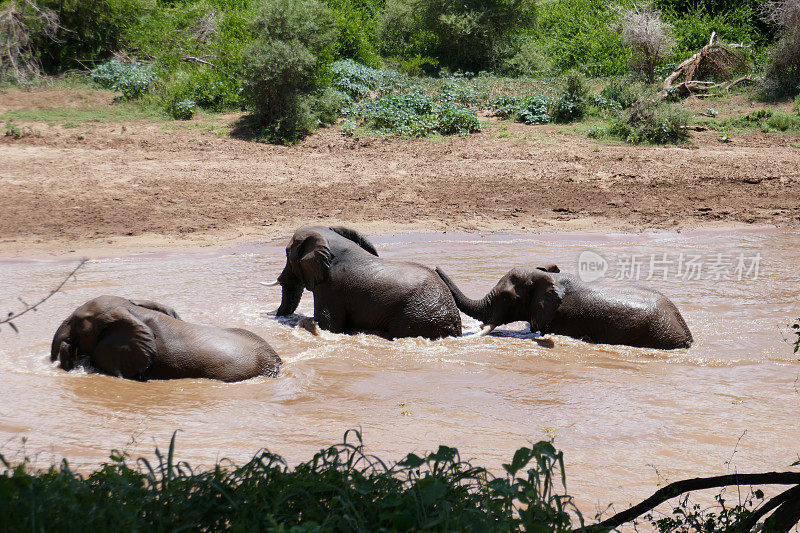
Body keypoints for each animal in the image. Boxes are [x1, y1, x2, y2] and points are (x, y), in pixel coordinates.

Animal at [268, 225, 460, 340]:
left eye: (287, 253)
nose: (277, 316)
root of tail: (455, 325)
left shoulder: (330, 288)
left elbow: (328, 325)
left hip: (414, 317)